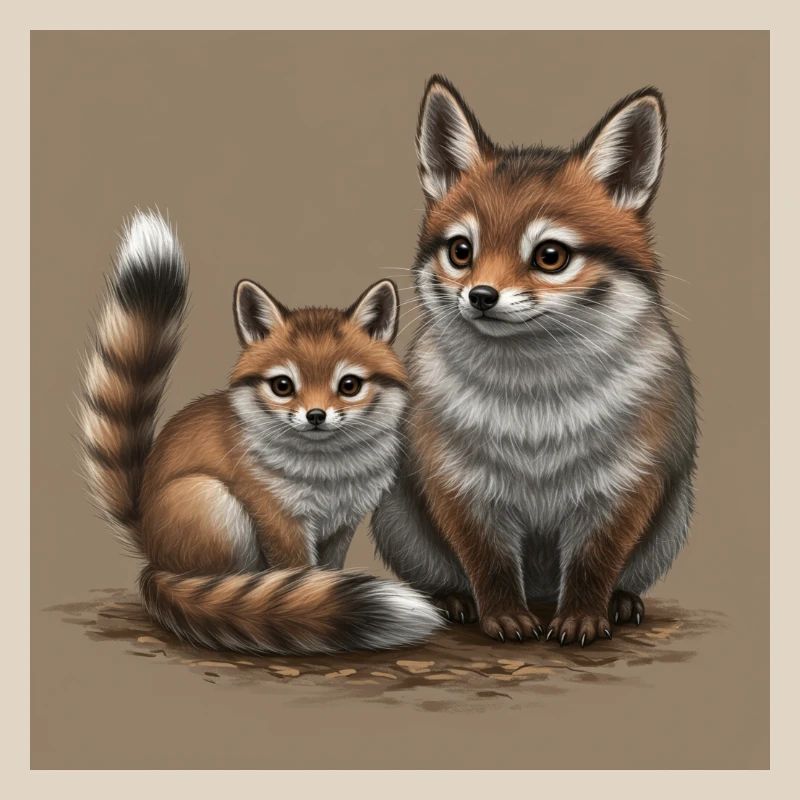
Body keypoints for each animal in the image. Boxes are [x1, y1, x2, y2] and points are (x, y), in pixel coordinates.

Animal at [79, 210, 442, 655]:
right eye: (283, 385)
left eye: (349, 385)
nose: (316, 416)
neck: (329, 471)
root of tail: (146, 535)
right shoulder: (278, 519)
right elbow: (299, 574)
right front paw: (303, 604)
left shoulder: (342, 523)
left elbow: (327, 571)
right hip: (214, 503)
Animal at [371, 76, 698, 647]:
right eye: (461, 251)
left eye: (550, 256)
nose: (481, 296)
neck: (534, 407)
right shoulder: (463, 485)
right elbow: (491, 565)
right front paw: (503, 615)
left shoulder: (622, 486)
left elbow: (593, 563)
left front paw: (584, 615)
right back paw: (453, 600)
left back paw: (620, 600)